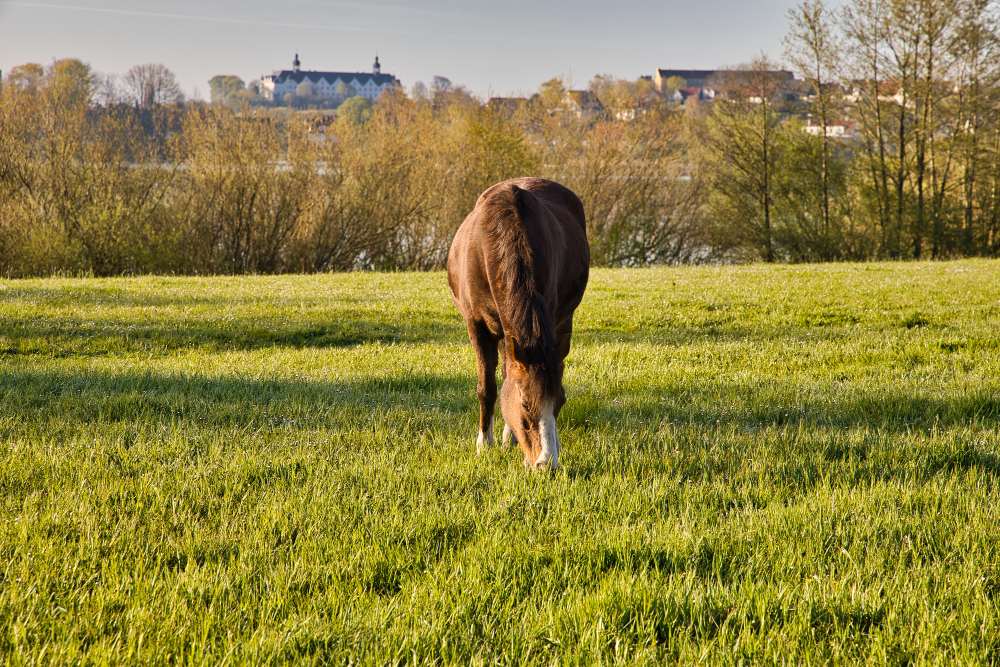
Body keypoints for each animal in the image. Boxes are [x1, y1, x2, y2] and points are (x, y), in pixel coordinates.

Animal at [444, 177, 584, 470]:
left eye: (561, 402)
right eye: (526, 405)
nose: (547, 464)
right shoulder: (476, 325)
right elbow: (487, 387)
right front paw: (484, 444)